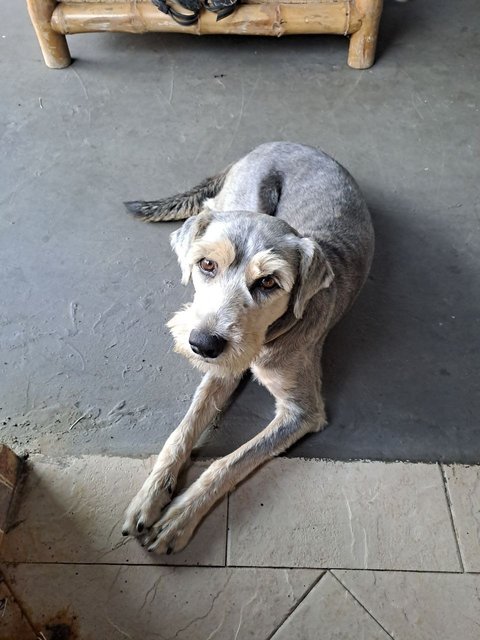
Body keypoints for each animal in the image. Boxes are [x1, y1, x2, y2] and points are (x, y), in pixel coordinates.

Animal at [121, 142, 376, 552]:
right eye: (206, 264)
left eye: (269, 281)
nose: (203, 344)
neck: (269, 337)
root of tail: (276, 143)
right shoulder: (220, 372)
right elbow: (182, 432)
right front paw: (150, 495)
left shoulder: (302, 412)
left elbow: (229, 462)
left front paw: (178, 519)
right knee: (210, 205)